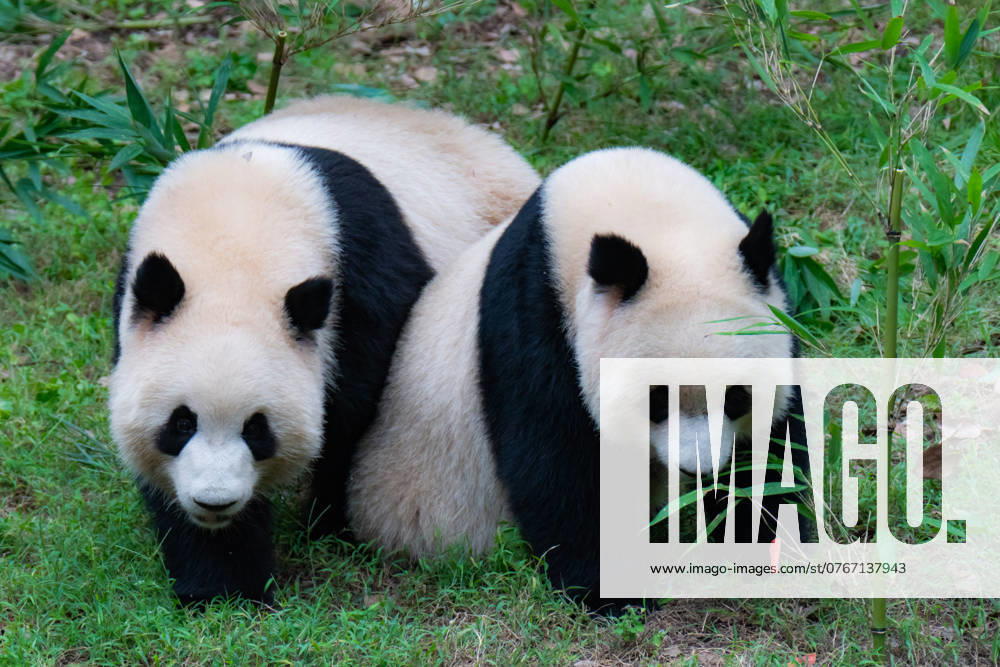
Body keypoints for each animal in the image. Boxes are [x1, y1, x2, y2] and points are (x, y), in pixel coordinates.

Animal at [108, 95, 540, 605]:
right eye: (181, 423)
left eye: (257, 429)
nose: (215, 501)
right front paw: (221, 582)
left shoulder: (364, 278)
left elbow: (353, 413)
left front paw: (327, 522)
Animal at [347, 147, 810, 612]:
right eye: (657, 401)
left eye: (736, 398)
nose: (699, 469)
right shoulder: (535, 315)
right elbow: (556, 459)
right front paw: (611, 592)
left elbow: (773, 452)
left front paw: (764, 549)